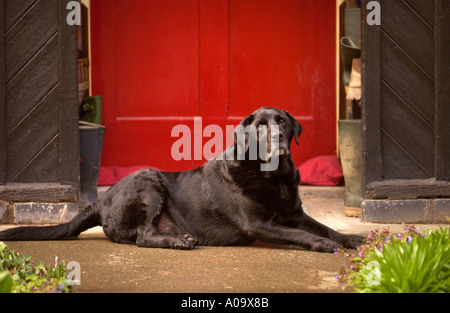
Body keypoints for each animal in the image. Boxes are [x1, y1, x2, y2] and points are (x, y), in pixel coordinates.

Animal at [0, 107, 364, 251]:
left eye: (282, 121)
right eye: (260, 125)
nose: (277, 136)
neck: (273, 177)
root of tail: (101, 199)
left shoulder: (295, 213)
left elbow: (325, 226)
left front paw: (352, 238)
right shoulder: (258, 224)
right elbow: (301, 234)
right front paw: (323, 244)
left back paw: (181, 237)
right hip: (148, 185)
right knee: (143, 237)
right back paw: (177, 242)